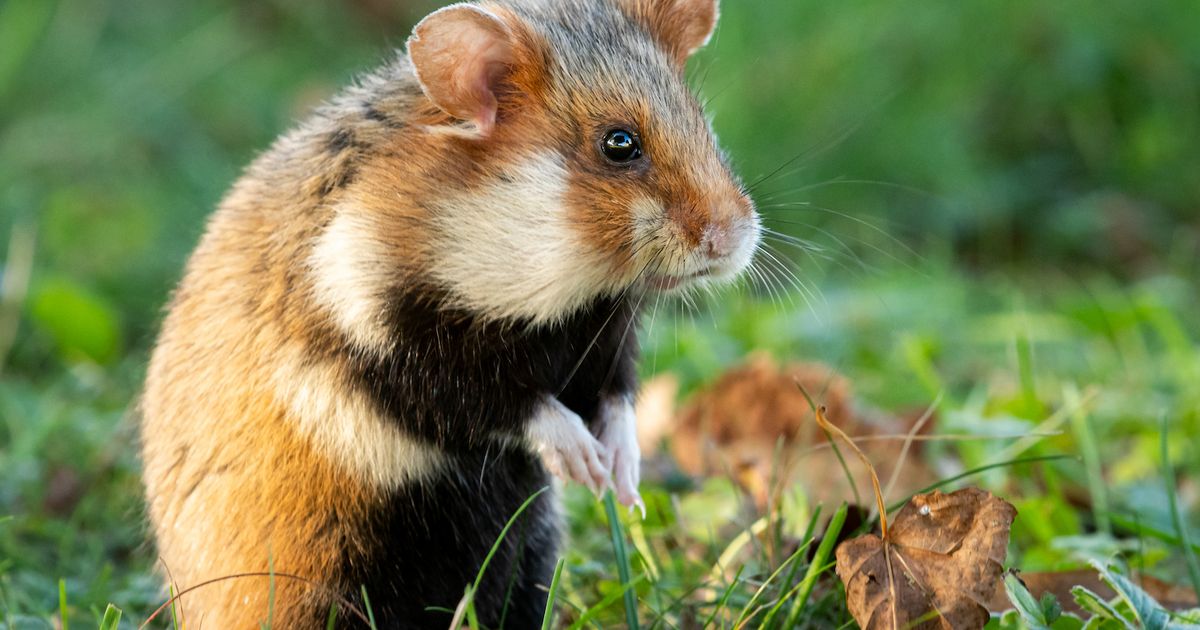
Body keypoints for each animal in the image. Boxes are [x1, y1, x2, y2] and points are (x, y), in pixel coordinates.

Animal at [139, 0, 760, 626]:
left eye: (700, 120)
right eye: (619, 144)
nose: (733, 240)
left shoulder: (603, 334)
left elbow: (617, 399)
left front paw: (622, 480)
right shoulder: (384, 345)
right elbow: (502, 401)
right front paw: (584, 463)